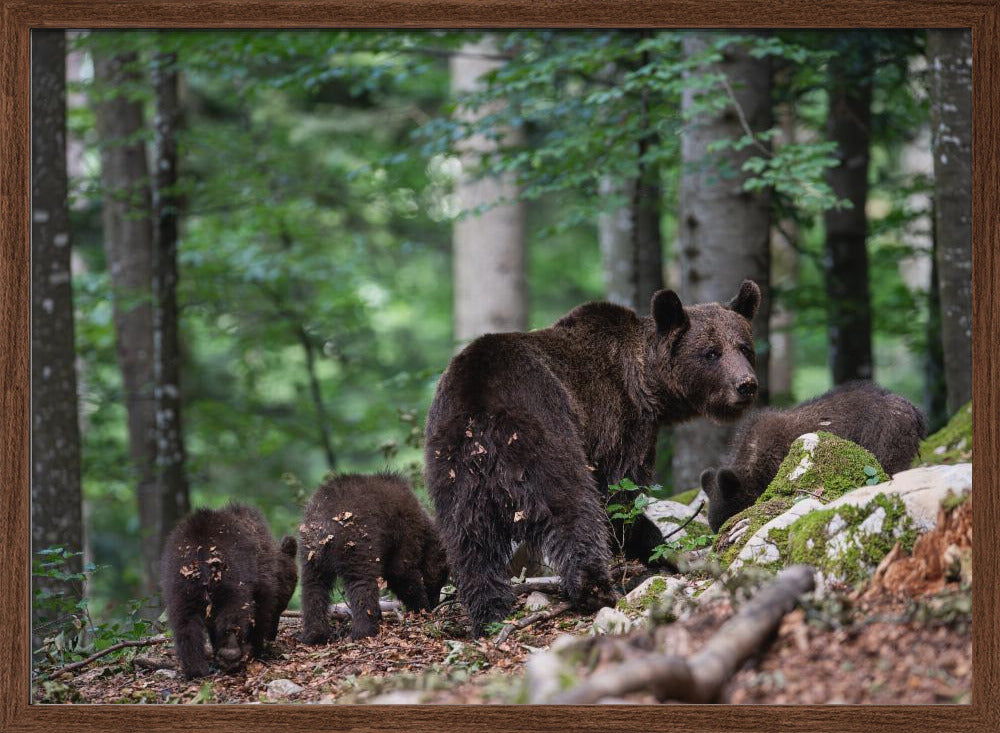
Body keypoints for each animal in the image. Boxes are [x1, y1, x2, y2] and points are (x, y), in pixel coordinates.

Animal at [161, 504, 298, 679]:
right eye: (282, 606)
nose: (272, 635)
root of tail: (199, 554)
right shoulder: (262, 580)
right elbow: (260, 611)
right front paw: (257, 648)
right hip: (230, 578)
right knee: (233, 613)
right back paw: (231, 653)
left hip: (180, 586)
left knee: (184, 624)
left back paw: (196, 668)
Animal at [298, 472, 449, 642]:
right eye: (443, 577)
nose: (436, 601)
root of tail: (323, 527)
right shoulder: (403, 531)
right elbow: (401, 572)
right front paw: (421, 608)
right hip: (356, 542)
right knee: (362, 583)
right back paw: (364, 630)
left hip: (311, 553)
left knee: (313, 586)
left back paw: (314, 634)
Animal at [424, 280, 762, 636]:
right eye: (711, 352)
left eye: (744, 348)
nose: (746, 385)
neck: (649, 384)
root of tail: (480, 403)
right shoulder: (621, 423)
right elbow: (621, 496)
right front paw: (657, 549)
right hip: (543, 427)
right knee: (571, 505)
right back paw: (595, 589)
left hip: (453, 462)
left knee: (468, 538)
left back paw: (488, 612)